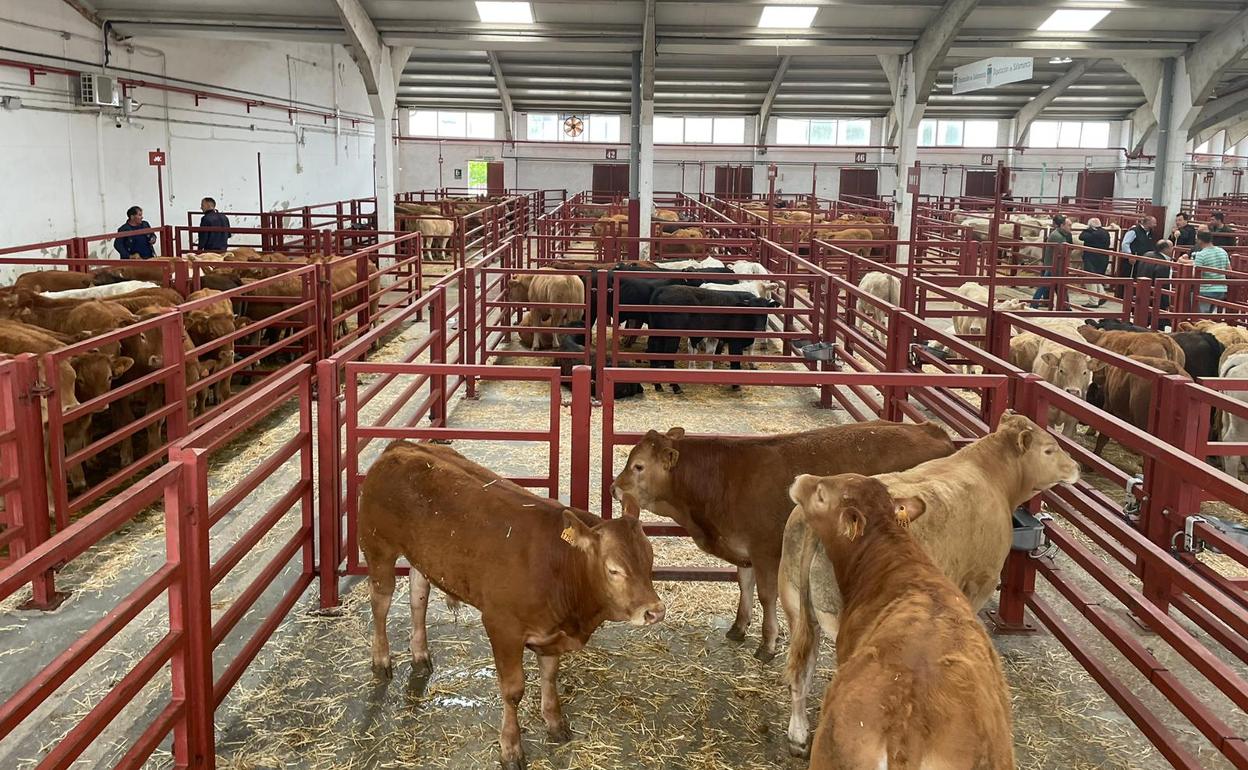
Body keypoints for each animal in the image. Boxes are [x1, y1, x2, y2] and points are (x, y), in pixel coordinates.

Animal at [356, 439, 668, 768]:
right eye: (614, 570)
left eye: (649, 559)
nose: (655, 611)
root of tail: (401, 446)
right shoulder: (501, 626)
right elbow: (513, 690)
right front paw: (511, 748)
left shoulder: (551, 633)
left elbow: (549, 675)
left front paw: (555, 722)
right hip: (378, 548)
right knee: (381, 603)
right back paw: (381, 660)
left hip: (422, 557)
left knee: (419, 597)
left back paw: (420, 654)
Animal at [611, 419, 953, 658]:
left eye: (638, 466)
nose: (614, 488)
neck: (720, 481)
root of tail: (932, 430)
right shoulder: (744, 550)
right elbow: (744, 585)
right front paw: (739, 627)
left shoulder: (765, 551)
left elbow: (766, 594)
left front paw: (767, 644)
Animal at [643, 285, 778, 394]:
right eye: (751, 312)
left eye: (766, 311)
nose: (759, 329)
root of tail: (663, 289)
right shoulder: (735, 342)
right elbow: (735, 364)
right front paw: (736, 385)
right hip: (672, 336)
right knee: (668, 356)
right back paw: (676, 387)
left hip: (657, 332)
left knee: (653, 351)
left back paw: (658, 385)